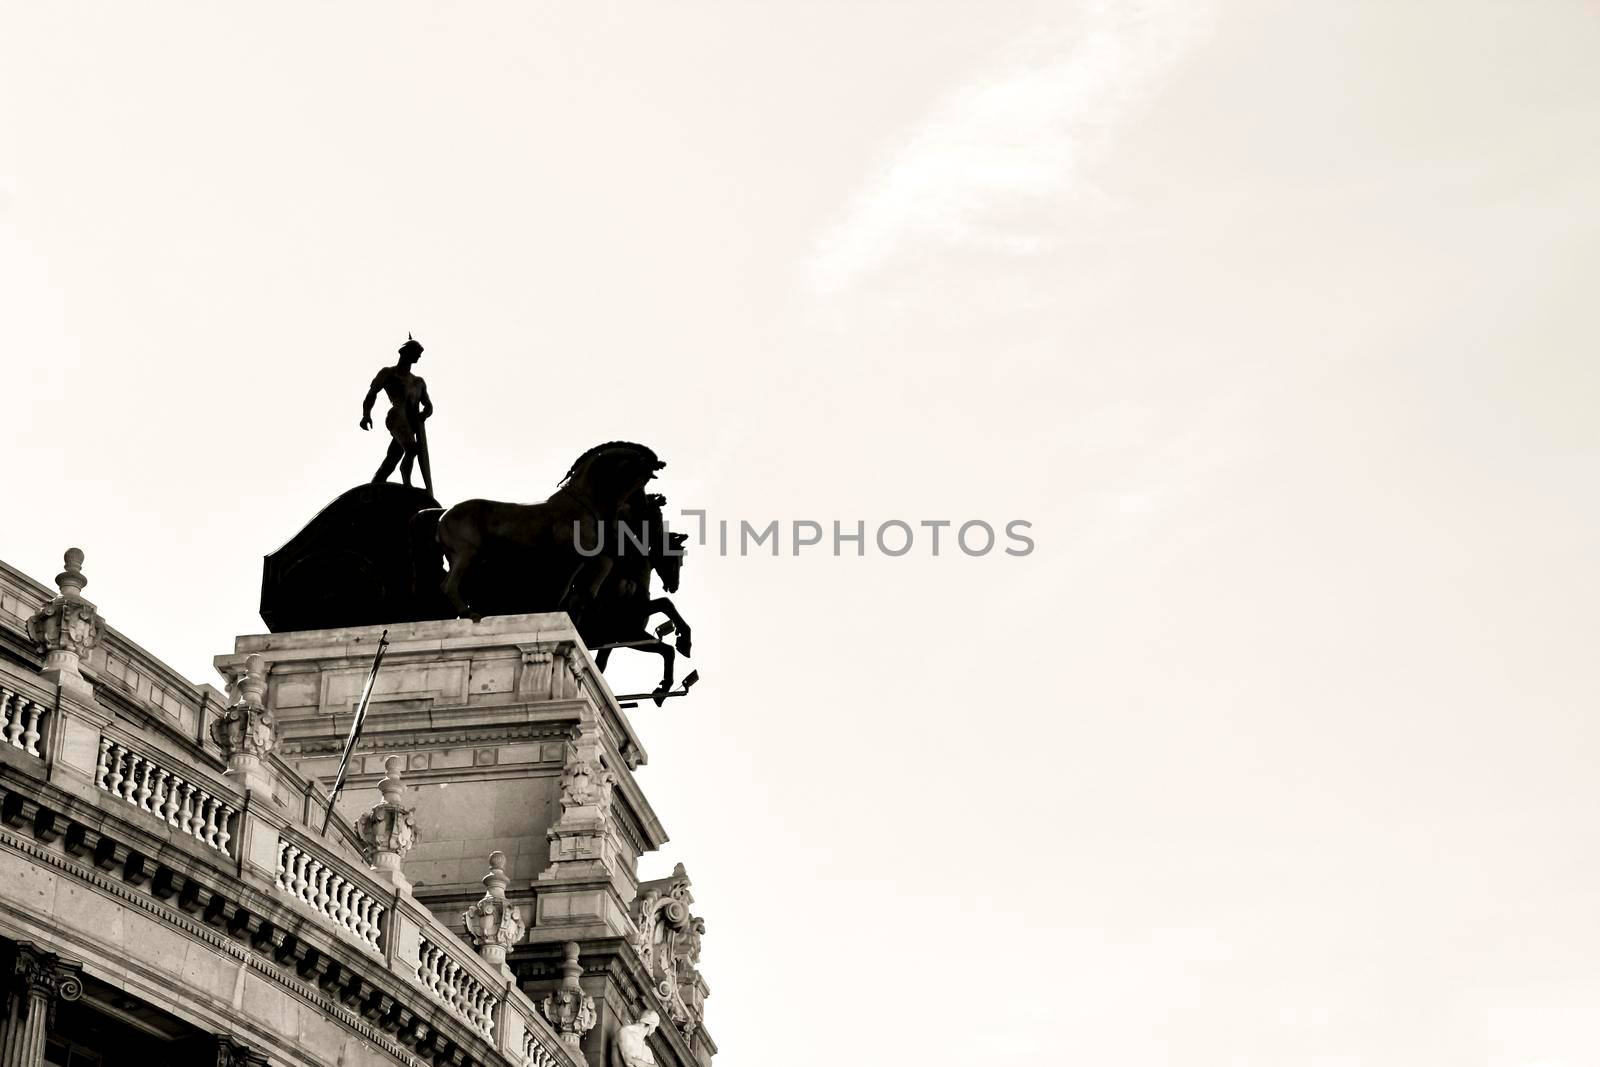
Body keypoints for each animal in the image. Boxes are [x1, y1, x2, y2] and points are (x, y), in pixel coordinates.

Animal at [428, 441, 665, 620]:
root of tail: (442, 517)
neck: (583, 503)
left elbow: (574, 584)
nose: (650, 505)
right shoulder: (576, 553)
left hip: (470, 558)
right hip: (467, 553)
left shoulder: (578, 560)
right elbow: (596, 567)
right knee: (449, 585)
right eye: (642, 478)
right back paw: (469, 613)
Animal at [582, 495, 694, 703]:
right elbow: (667, 644)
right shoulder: (628, 632)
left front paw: (684, 642)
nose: (674, 586)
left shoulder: (616, 638)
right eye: (676, 556)